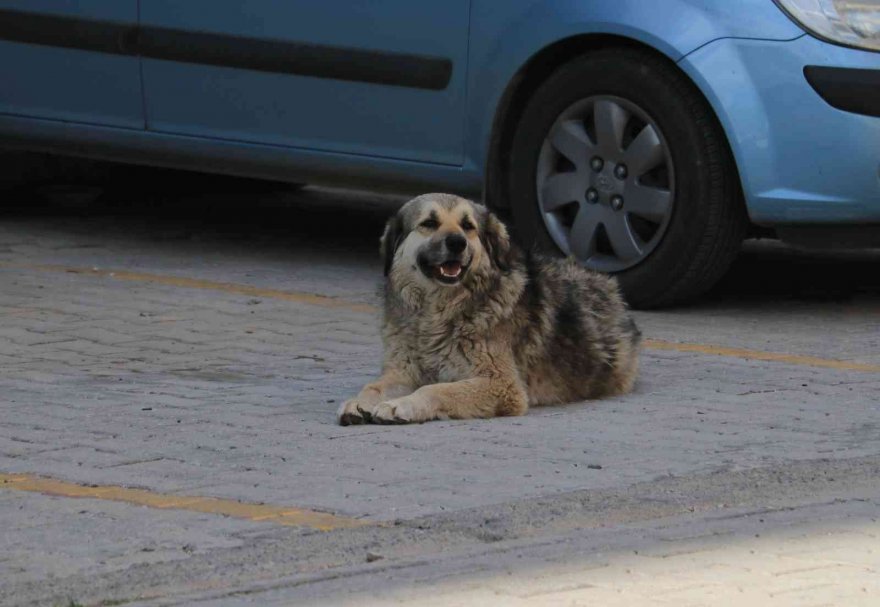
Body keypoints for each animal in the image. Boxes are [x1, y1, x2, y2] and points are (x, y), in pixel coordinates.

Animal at [336, 195, 640, 428]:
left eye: (468, 226)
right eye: (429, 223)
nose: (457, 242)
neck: (436, 314)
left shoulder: (502, 385)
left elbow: (436, 388)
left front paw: (402, 406)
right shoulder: (403, 372)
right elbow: (375, 386)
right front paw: (360, 402)